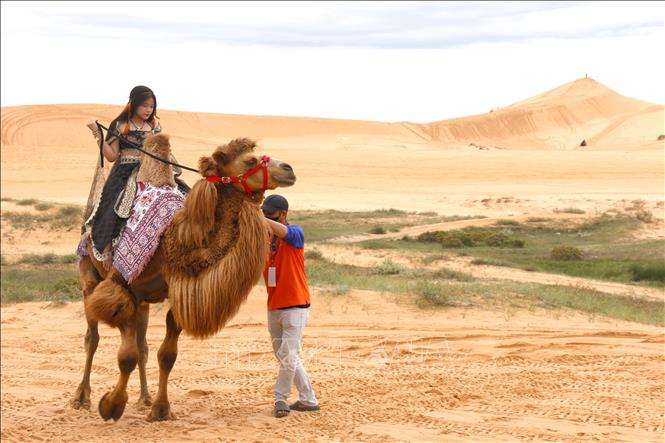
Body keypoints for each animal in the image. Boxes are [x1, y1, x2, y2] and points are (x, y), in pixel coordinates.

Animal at [71, 133, 296, 421]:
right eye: (250, 160)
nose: (289, 169)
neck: (171, 241)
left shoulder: (172, 293)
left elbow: (165, 355)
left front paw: (160, 409)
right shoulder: (122, 286)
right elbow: (127, 356)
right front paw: (111, 406)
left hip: (143, 303)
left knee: (142, 346)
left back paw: (144, 398)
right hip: (89, 275)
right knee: (93, 338)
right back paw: (81, 398)